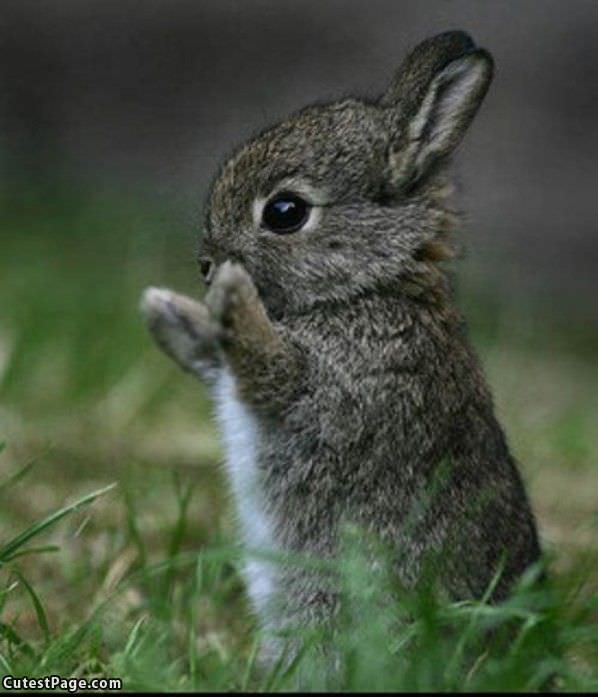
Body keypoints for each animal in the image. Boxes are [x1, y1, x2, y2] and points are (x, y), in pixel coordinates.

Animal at [142, 31, 544, 664]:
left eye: (285, 212)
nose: (207, 265)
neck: (369, 287)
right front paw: (165, 310)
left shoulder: (337, 390)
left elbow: (268, 368)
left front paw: (231, 295)